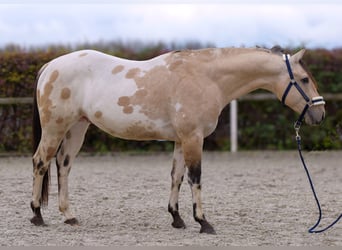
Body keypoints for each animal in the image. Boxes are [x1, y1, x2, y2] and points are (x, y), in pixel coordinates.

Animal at [30, 45, 324, 234]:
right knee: (40, 163)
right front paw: (203, 222)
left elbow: (177, 177)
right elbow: (195, 178)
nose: (320, 114)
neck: (206, 77)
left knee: (63, 166)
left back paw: (69, 216)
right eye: (304, 79)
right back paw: (37, 215)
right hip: (55, 128)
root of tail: (49, 66)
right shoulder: (193, 138)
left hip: (77, 129)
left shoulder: (182, 140)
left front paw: (177, 218)